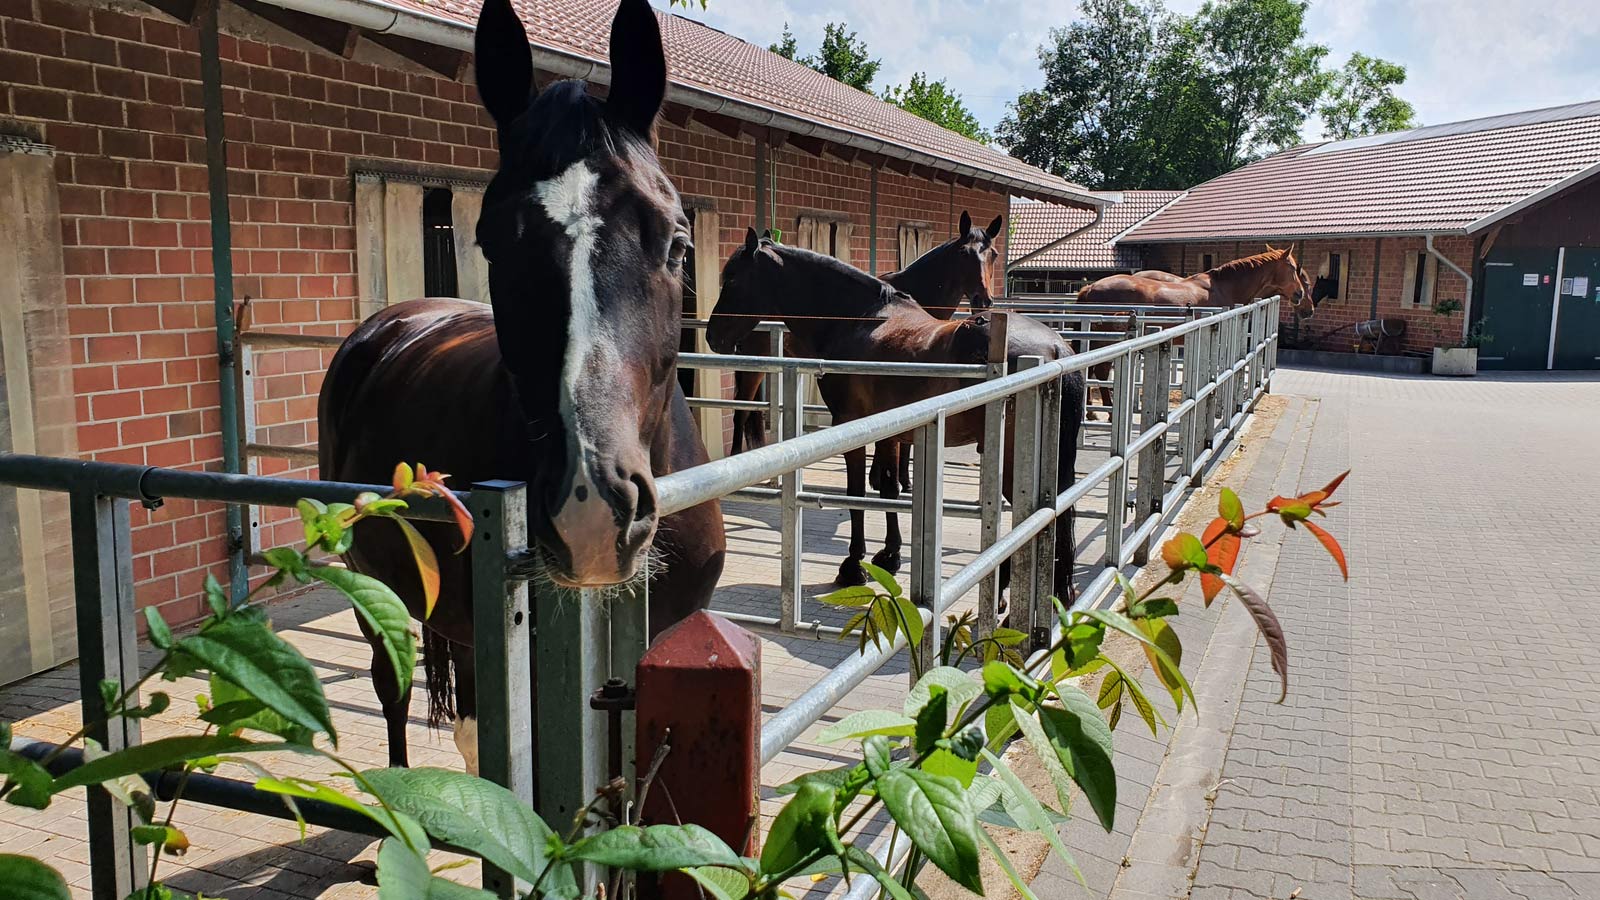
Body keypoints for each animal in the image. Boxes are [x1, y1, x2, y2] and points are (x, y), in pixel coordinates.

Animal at [1074, 246, 1312, 413]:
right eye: (1293, 269)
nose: (1300, 296)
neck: (1223, 287)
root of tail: (1090, 287)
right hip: (1107, 341)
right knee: (1101, 371)